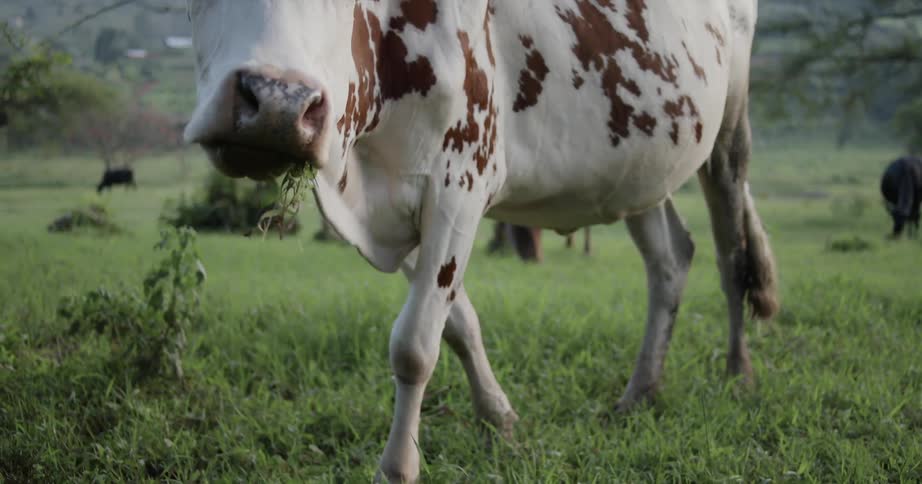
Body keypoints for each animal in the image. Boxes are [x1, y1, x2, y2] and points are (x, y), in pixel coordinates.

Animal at [182, 1, 778, 481]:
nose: (279, 104)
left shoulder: (461, 180)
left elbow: (414, 344)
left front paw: (398, 468)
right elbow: (458, 324)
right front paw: (500, 419)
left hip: (729, 132)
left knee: (732, 251)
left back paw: (738, 373)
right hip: (638, 159)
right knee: (670, 257)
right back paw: (639, 393)